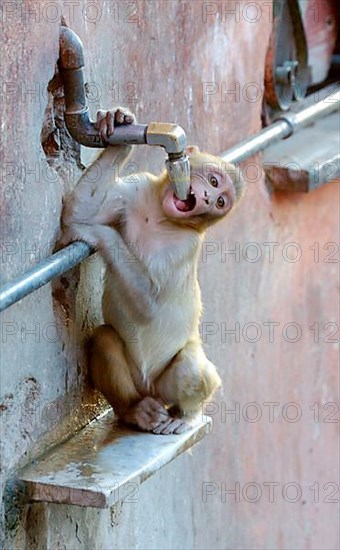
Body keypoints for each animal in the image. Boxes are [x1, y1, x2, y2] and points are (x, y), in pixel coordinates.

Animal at [61, 106, 244, 436]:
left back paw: (187, 416)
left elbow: (149, 306)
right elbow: (77, 210)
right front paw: (117, 123)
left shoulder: (185, 246)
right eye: (214, 181)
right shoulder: (136, 188)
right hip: (136, 383)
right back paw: (135, 411)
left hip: (167, 384)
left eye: (221, 201)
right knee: (105, 340)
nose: (208, 200)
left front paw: (97, 234)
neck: (160, 215)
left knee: (191, 368)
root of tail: (151, 391)